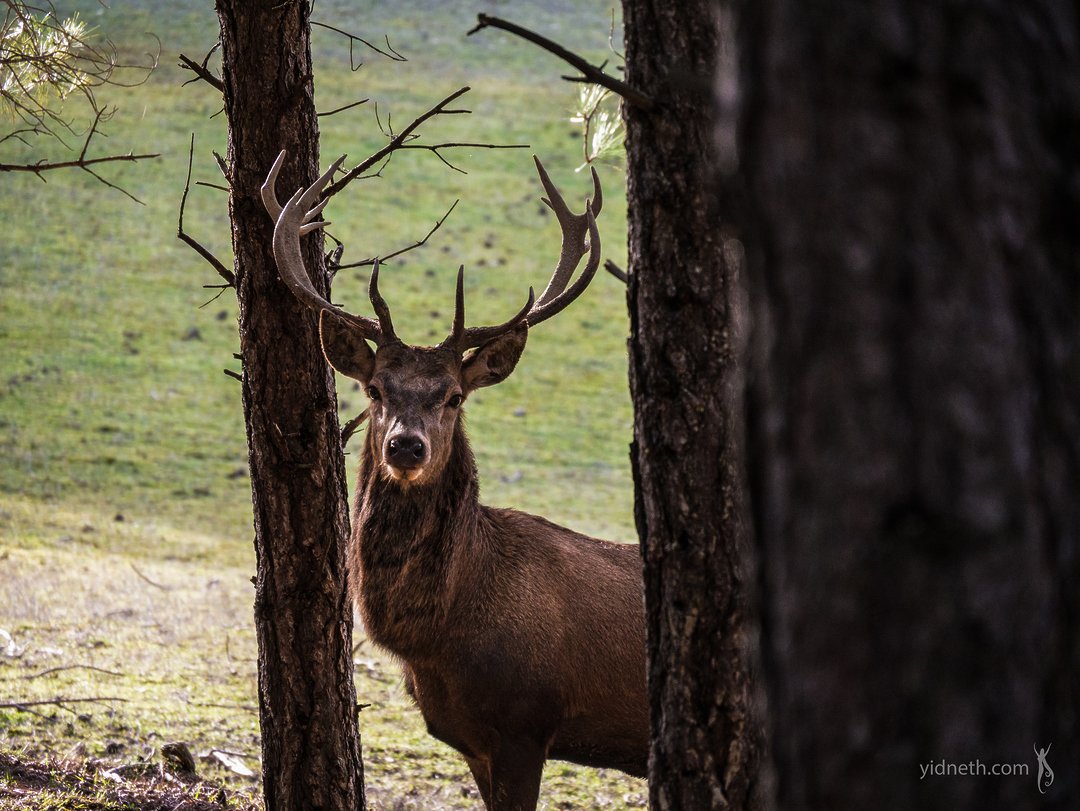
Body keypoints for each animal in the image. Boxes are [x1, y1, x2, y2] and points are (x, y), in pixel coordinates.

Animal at [259, 153, 648, 811]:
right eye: (375, 389)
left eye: (453, 396)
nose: (406, 445)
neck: (443, 637)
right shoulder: (469, 740)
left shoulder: (528, 721)